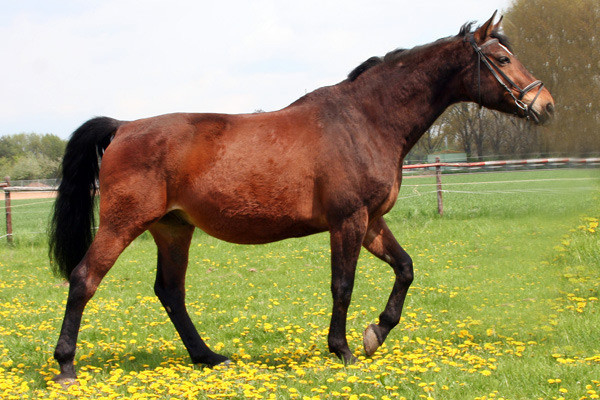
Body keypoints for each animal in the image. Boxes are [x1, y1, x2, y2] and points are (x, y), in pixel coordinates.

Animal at [49, 10, 556, 382]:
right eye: (502, 60)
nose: (545, 104)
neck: (364, 120)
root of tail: (123, 127)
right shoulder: (348, 220)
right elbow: (342, 285)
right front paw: (343, 350)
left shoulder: (371, 222)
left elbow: (406, 268)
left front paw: (376, 333)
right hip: (123, 224)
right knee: (84, 280)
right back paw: (67, 365)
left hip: (173, 229)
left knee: (171, 292)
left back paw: (208, 357)